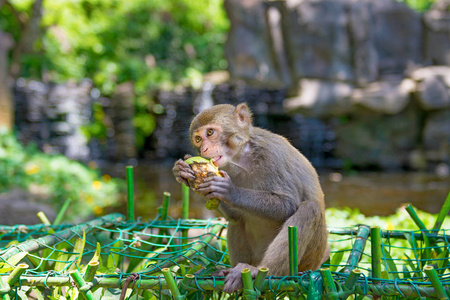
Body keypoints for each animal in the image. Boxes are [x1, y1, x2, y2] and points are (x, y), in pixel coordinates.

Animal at [171, 103, 326, 292]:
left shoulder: (271, 155)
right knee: (238, 220)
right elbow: (234, 215)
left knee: (309, 209)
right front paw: (182, 171)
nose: (204, 149)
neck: (241, 157)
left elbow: (288, 204)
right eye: (198, 139)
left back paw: (260, 271)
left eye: (210, 133)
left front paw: (230, 191)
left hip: (307, 261)